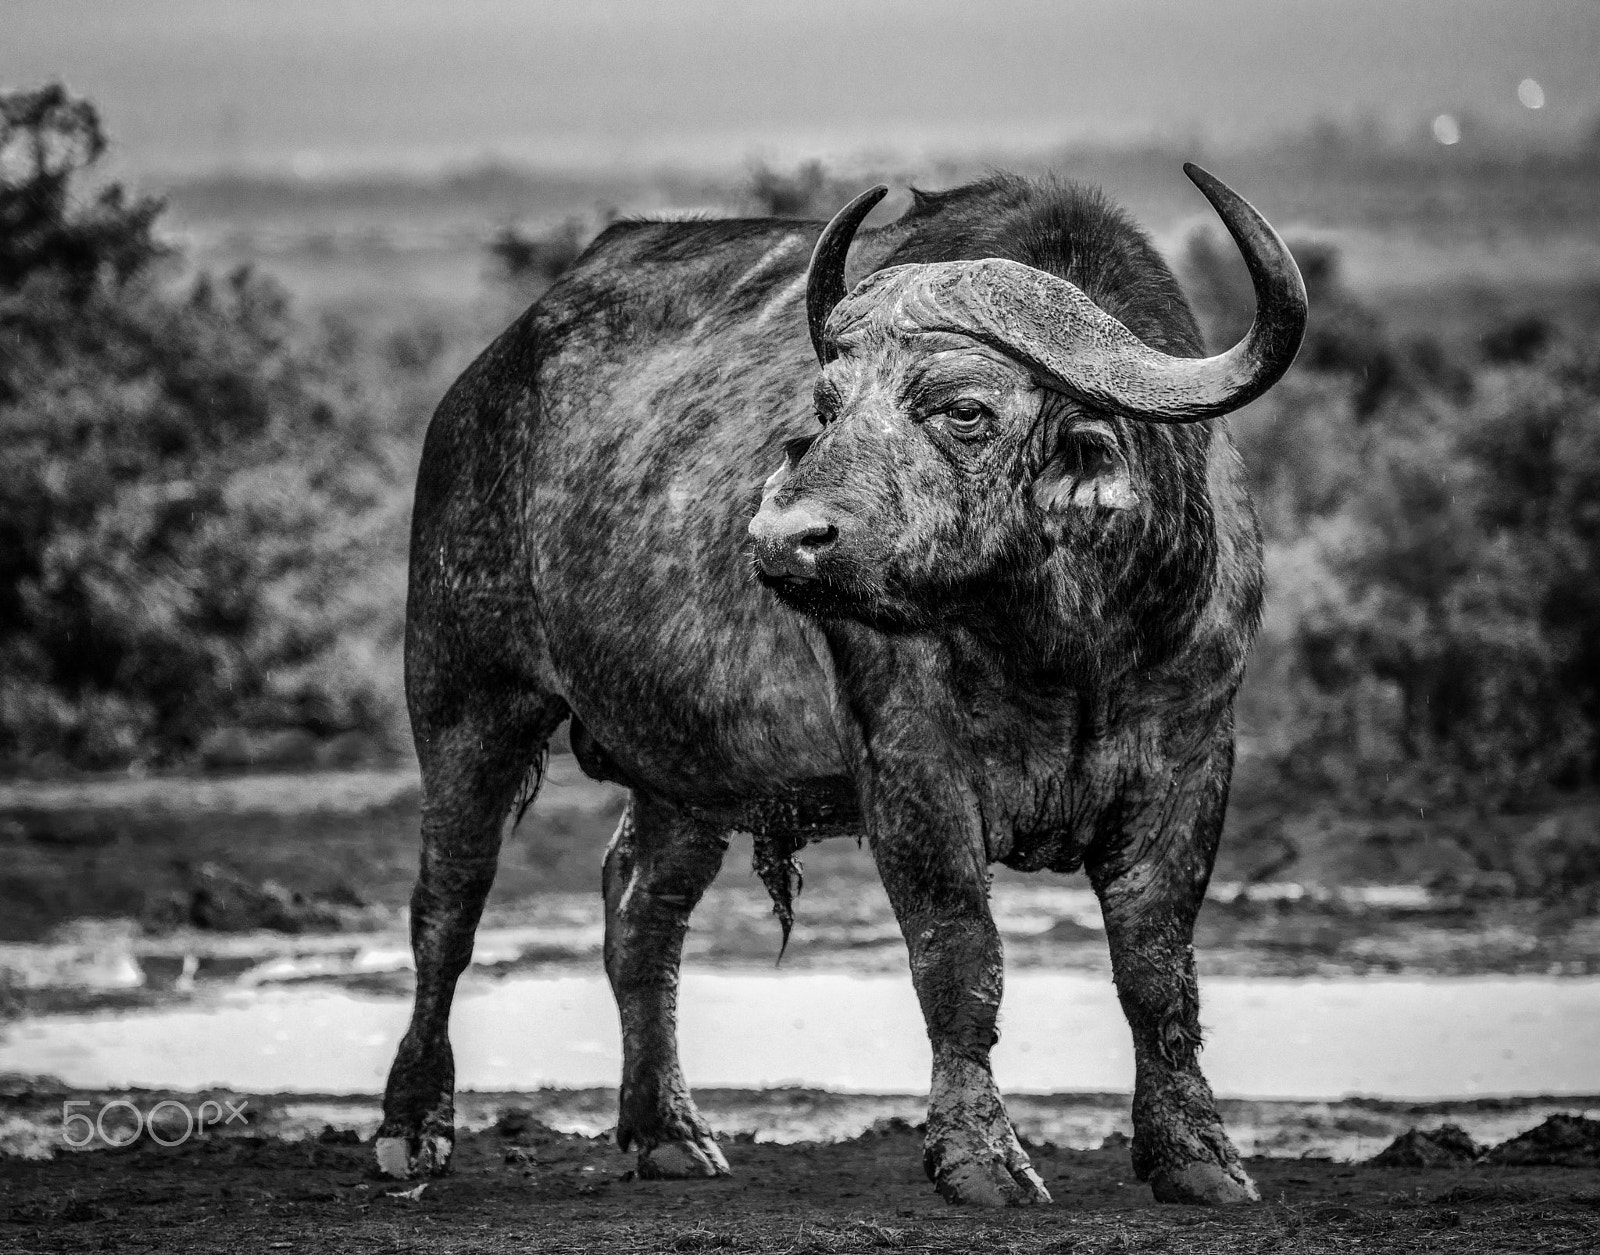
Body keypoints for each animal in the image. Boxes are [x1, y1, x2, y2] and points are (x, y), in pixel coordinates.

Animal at [376, 164, 1306, 1208]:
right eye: (828, 406)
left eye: (964, 408)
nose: (785, 538)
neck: (1062, 645)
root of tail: (483, 382)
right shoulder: (910, 771)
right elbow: (960, 958)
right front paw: (980, 1157)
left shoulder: (1193, 757)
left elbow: (1157, 968)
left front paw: (1197, 1154)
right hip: (466, 697)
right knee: (447, 905)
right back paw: (412, 1129)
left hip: (689, 765)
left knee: (642, 910)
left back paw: (667, 1131)